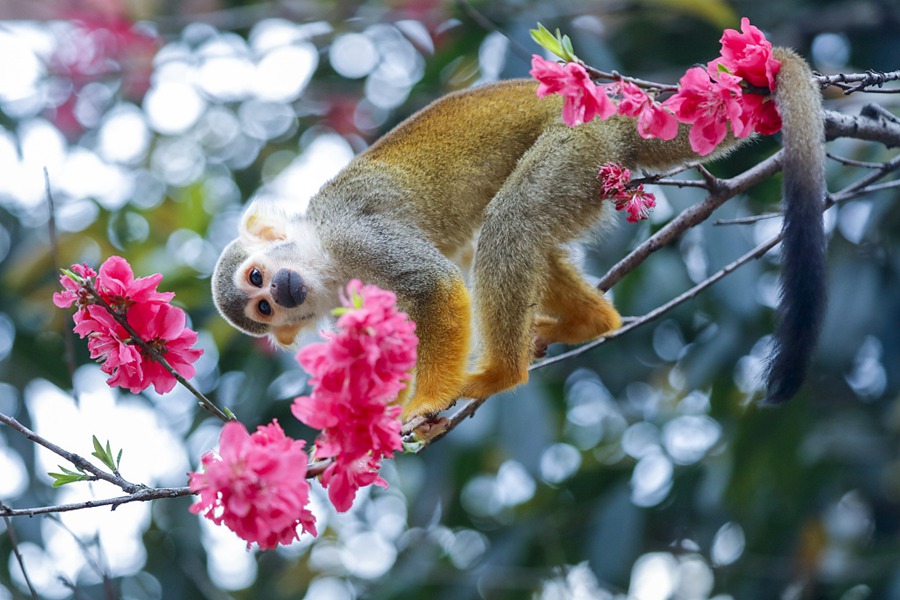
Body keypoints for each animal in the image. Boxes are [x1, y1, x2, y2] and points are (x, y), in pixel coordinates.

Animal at [211, 48, 824, 418]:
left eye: (258, 279)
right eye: (263, 309)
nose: (281, 291)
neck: (325, 261)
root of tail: (622, 118)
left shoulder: (351, 231)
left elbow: (434, 285)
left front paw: (424, 403)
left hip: (579, 143)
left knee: (512, 219)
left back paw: (502, 373)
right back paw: (587, 322)